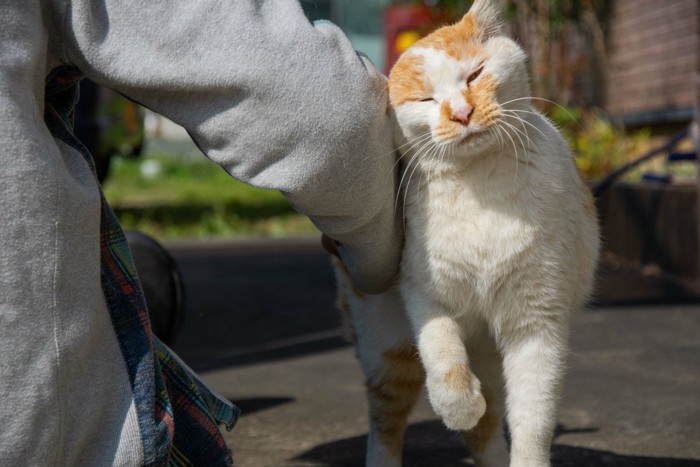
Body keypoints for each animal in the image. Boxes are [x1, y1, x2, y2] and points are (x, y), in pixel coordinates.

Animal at [334, 0, 600, 467]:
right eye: (425, 98)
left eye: (475, 75)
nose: (461, 112)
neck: (480, 187)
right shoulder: (425, 295)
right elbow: (442, 356)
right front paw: (457, 407)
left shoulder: (536, 322)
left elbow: (533, 418)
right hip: (388, 349)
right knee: (387, 418)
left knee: (489, 424)